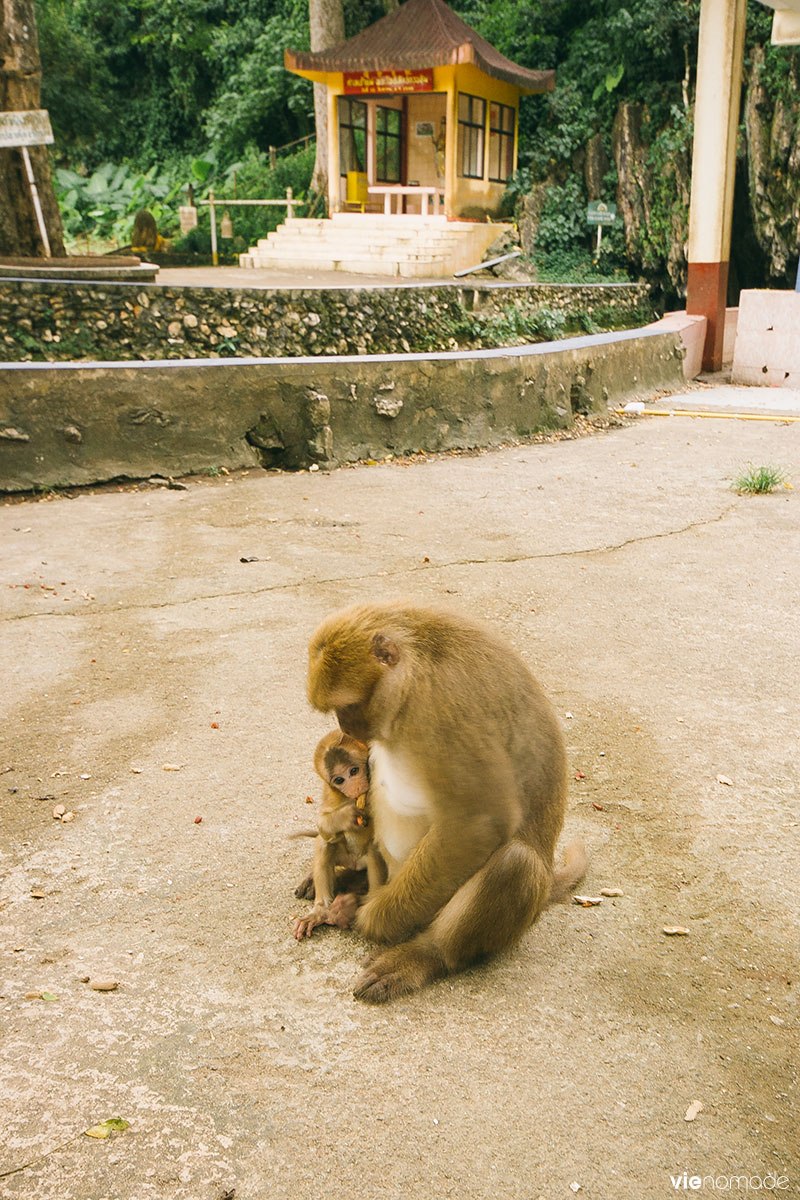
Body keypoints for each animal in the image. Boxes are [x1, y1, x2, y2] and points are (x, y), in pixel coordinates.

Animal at [293, 724, 388, 940]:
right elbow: (323, 825)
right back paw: (320, 912)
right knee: (325, 842)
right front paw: (347, 815)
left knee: (373, 849)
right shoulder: (332, 793)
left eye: (354, 771)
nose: (355, 787)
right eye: (339, 779)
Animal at [309, 600, 587, 1003]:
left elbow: (477, 821)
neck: (414, 668)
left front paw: (373, 918)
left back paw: (424, 953)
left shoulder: (442, 704)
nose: (346, 726)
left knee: (515, 864)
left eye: (350, 705)